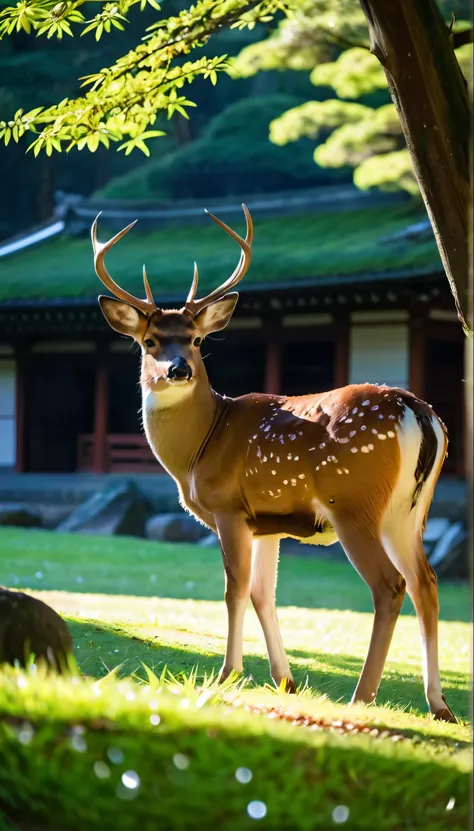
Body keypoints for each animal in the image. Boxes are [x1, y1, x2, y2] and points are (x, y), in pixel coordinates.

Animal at [90, 203, 458, 720]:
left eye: (197, 340)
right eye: (149, 342)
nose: (178, 369)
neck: (201, 445)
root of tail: (419, 412)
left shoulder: (227, 508)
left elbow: (234, 589)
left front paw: (226, 675)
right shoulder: (266, 522)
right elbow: (264, 592)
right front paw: (285, 680)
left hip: (355, 503)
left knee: (389, 586)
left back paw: (362, 695)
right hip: (409, 511)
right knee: (426, 582)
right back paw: (438, 704)